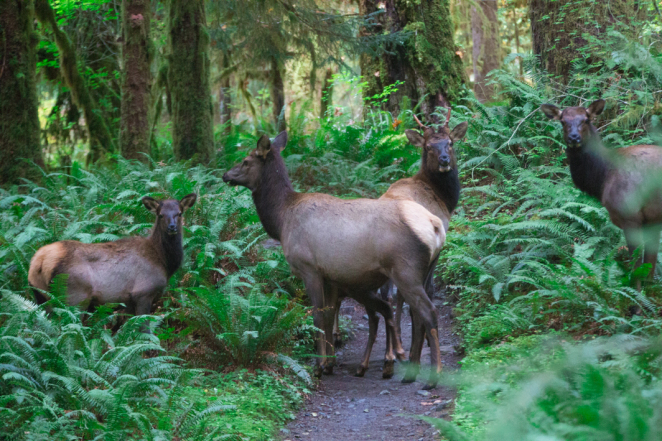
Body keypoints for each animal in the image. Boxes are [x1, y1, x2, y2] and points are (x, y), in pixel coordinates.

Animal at [27, 193, 197, 316]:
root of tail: (39, 262)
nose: (172, 227)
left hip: (40, 295)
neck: (164, 262)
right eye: (160, 214)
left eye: (179, 213)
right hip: (75, 296)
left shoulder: (128, 301)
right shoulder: (143, 292)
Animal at [222, 131, 446, 384]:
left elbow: (318, 317)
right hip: (426, 269)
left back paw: (432, 374)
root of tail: (436, 226)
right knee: (416, 313)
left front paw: (319, 366)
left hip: (405, 270)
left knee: (428, 312)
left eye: (246, 160)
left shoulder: (308, 267)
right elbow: (329, 316)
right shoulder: (330, 276)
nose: (225, 175)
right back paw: (411, 369)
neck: (281, 220)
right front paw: (329, 362)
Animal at [348, 110, 472, 378]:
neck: (443, 199)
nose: (444, 159)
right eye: (428, 147)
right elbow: (428, 290)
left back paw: (384, 357)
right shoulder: (437, 247)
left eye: (450, 142)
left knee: (386, 296)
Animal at [544, 98, 662, 280]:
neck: (602, 178)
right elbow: (649, 269)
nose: (573, 137)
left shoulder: (630, 214)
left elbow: (636, 269)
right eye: (563, 121)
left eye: (586, 119)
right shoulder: (653, 219)